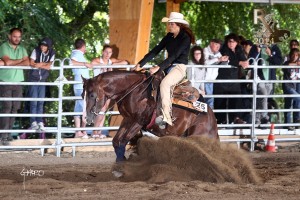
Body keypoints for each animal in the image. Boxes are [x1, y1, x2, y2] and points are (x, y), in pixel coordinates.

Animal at [82, 69, 218, 162]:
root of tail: (212, 119)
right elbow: (116, 141)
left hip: (198, 137)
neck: (134, 90)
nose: (86, 118)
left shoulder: (138, 122)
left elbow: (123, 141)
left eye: (92, 95)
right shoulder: (128, 119)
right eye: (82, 95)